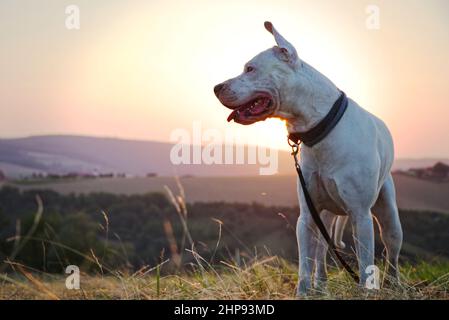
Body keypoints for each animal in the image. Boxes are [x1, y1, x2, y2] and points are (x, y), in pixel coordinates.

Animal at [214, 21, 402, 296]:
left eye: (250, 69)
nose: (216, 88)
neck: (320, 129)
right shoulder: (306, 217)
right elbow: (305, 261)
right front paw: (303, 292)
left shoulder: (360, 215)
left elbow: (366, 259)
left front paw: (365, 292)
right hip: (325, 214)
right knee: (323, 249)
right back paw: (321, 285)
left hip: (387, 212)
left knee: (391, 247)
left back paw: (394, 284)